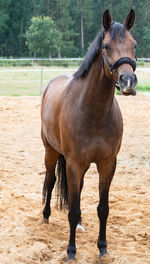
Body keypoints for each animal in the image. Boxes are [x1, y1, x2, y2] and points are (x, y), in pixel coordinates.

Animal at [40, 9, 138, 260]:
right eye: (106, 46)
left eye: (134, 45)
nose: (128, 82)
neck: (94, 112)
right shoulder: (73, 163)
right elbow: (72, 210)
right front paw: (71, 252)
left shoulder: (107, 164)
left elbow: (103, 208)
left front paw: (103, 248)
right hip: (51, 152)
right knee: (51, 180)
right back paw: (45, 216)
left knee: (79, 188)